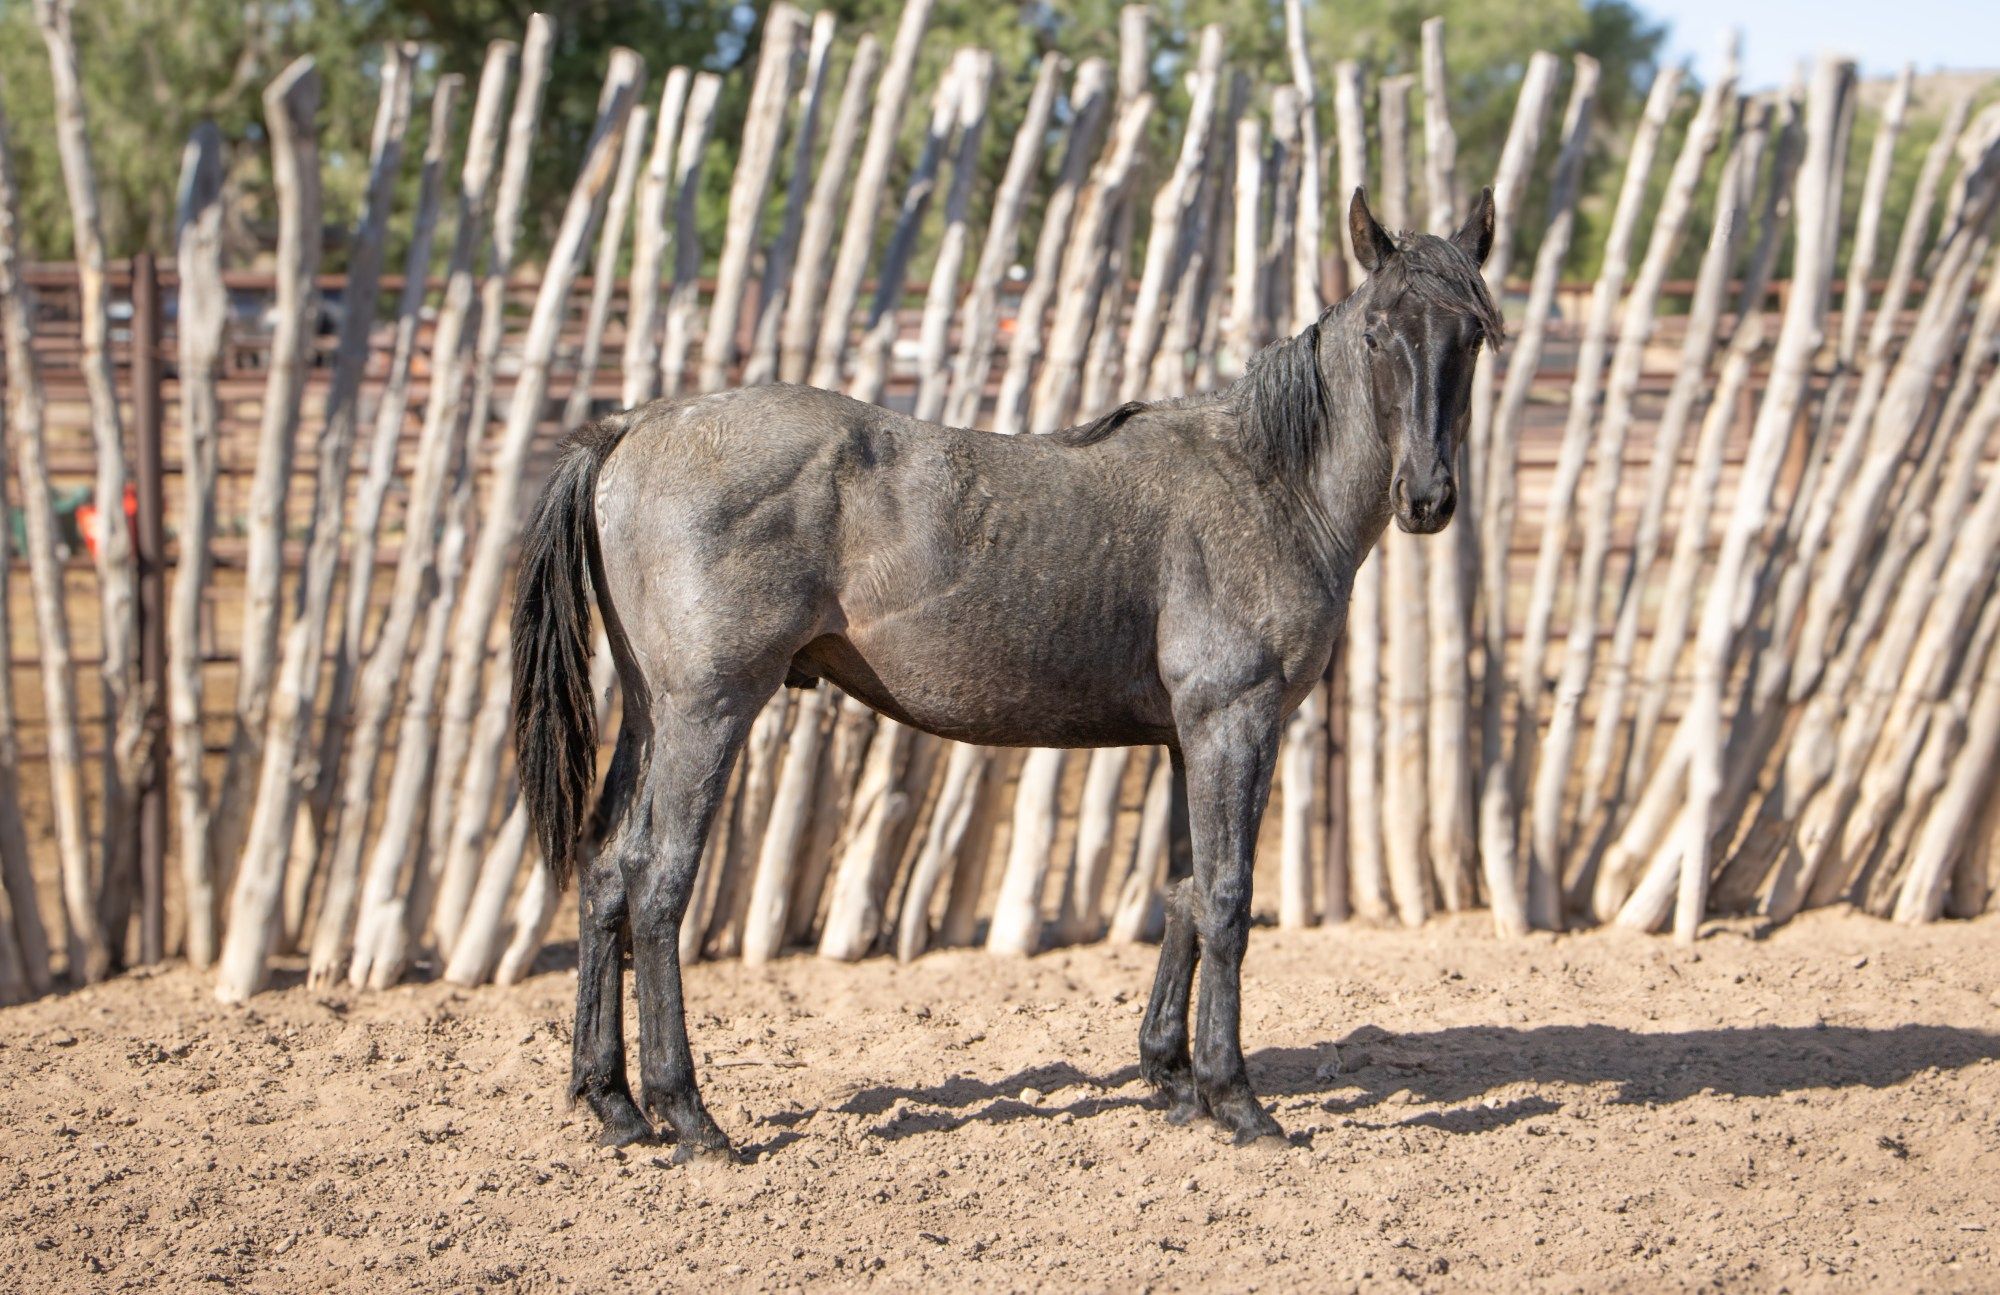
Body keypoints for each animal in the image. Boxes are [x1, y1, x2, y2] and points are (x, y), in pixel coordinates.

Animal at [511, 188, 1501, 1160]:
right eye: (1378, 331)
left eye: (1473, 334)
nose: (1426, 497)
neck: (1269, 483)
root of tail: (635, 425)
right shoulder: (1237, 721)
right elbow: (1226, 897)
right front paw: (1236, 1098)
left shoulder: (1190, 738)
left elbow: (1184, 891)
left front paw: (1174, 1080)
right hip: (707, 712)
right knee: (658, 880)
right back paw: (688, 1113)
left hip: (650, 714)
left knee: (605, 872)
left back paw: (615, 1103)